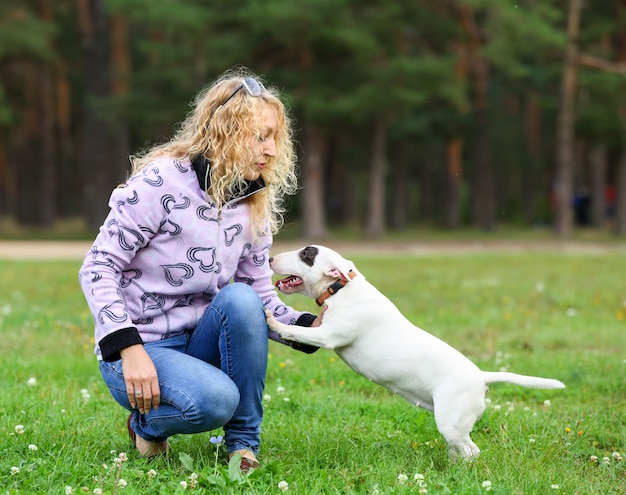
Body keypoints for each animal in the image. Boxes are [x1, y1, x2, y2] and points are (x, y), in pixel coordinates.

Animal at [266, 246, 564, 460]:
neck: (341, 288)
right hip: (455, 424)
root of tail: (481, 377)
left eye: (306, 254)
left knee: (472, 451)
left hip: (450, 421)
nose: (269, 258)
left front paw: (271, 320)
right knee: (465, 449)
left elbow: (296, 332)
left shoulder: (328, 336)